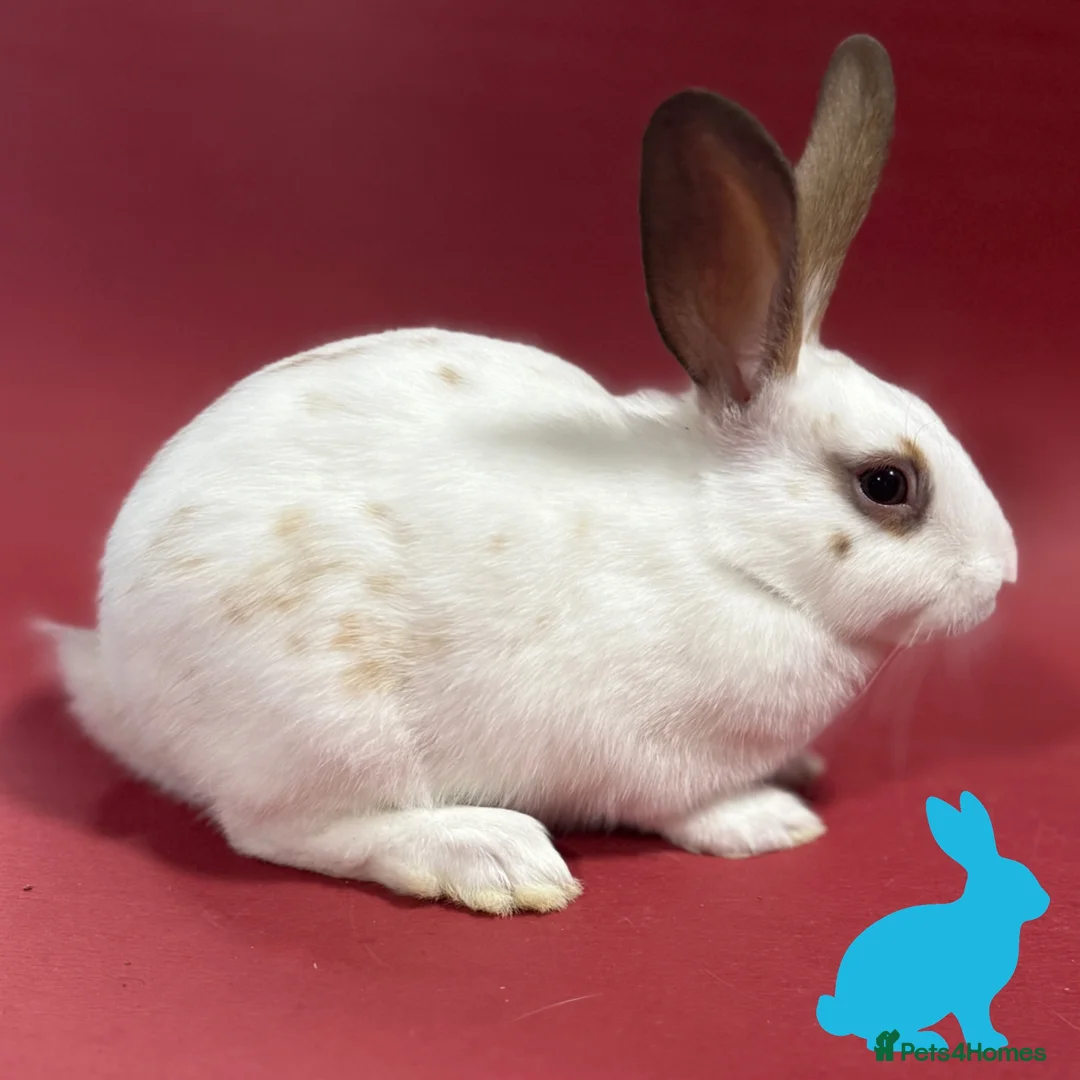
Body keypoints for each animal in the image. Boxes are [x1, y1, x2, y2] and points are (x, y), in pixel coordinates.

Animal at [41, 34, 1017, 916]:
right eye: (886, 484)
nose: (1004, 578)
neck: (735, 554)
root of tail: (122, 678)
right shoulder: (653, 754)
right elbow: (690, 806)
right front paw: (772, 820)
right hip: (329, 729)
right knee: (283, 831)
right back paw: (491, 858)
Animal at [816, 792, 1050, 1051]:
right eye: (1014, 882)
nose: (1045, 901)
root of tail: (845, 1014)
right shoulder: (970, 998)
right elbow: (974, 1020)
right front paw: (988, 1042)